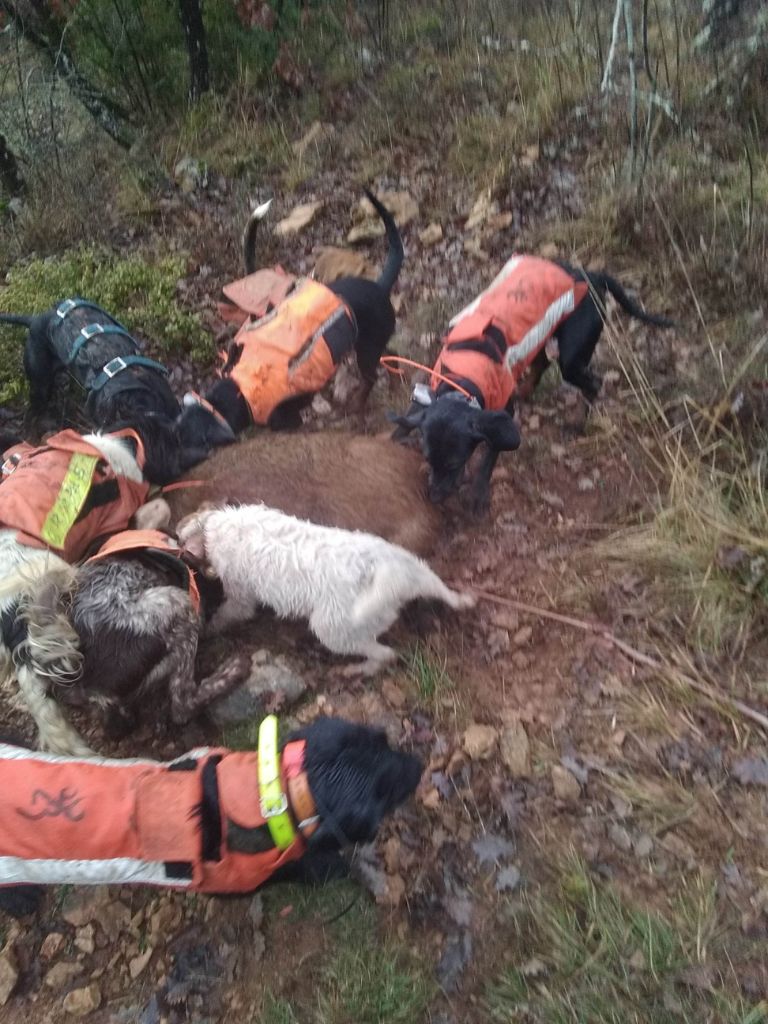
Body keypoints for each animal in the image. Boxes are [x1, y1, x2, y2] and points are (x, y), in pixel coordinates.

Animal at [179, 501, 475, 675]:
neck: (215, 524)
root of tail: (387, 574)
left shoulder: (240, 596)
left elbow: (229, 613)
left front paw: (209, 628)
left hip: (333, 629)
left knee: (386, 655)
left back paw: (359, 670)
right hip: (418, 569)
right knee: (445, 592)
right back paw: (463, 600)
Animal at [391, 256, 671, 512]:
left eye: (454, 463)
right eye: (428, 458)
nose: (435, 497)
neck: (462, 380)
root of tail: (592, 275)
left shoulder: (501, 414)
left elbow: (491, 453)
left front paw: (478, 493)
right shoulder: (429, 393)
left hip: (573, 355)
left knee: (592, 383)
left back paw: (577, 423)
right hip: (542, 337)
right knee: (543, 362)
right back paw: (525, 391)